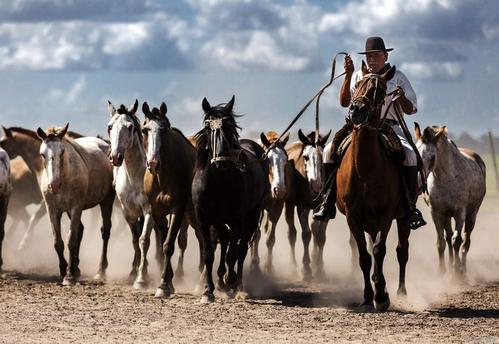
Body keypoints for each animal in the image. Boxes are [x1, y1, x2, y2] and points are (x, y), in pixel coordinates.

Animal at [37, 123, 115, 284]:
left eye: (62, 152)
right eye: (42, 154)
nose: (54, 185)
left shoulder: (75, 208)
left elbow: (71, 240)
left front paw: (69, 275)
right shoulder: (52, 210)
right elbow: (58, 242)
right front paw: (64, 270)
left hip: (106, 201)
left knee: (105, 231)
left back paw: (100, 270)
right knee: (81, 230)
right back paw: (77, 267)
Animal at [191, 95, 270, 302]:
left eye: (228, 127)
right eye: (209, 127)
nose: (221, 161)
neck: (219, 181)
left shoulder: (237, 219)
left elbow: (233, 254)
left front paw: (230, 279)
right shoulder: (204, 219)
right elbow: (209, 253)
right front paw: (208, 291)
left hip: (252, 215)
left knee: (241, 249)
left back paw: (238, 286)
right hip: (220, 220)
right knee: (226, 240)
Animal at [338, 66, 412, 310]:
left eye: (381, 91)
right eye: (357, 85)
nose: (357, 110)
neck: (366, 170)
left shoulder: (387, 213)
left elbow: (380, 251)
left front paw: (381, 296)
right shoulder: (353, 216)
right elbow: (364, 255)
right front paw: (368, 296)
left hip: (403, 218)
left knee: (402, 251)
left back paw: (401, 292)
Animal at [416, 123, 486, 276]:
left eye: (431, 157)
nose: (418, 183)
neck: (446, 178)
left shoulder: (460, 213)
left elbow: (457, 241)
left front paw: (457, 273)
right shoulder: (436, 213)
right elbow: (441, 242)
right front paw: (442, 271)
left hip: (472, 214)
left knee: (465, 242)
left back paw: (463, 270)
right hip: (446, 215)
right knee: (448, 237)